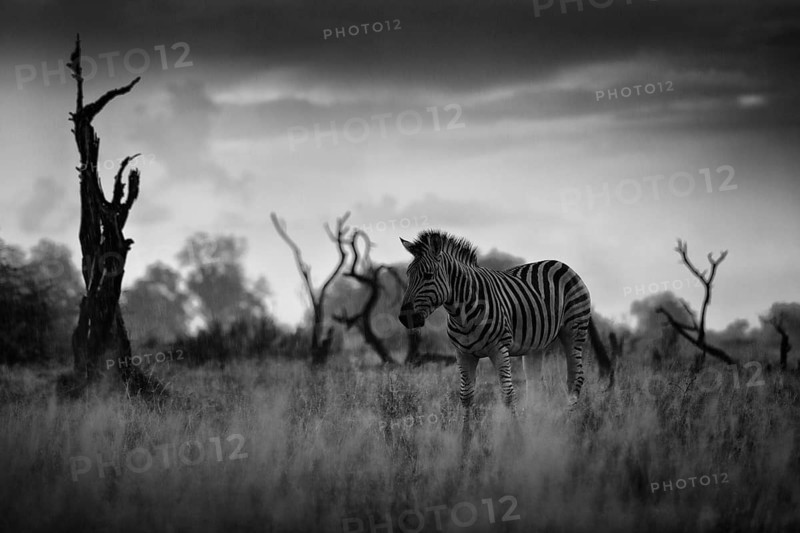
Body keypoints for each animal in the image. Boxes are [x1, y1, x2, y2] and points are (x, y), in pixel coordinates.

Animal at [397, 230, 614, 432]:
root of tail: (560, 263)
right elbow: (466, 397)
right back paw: (536, 428)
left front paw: (516, 438)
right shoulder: (463, 353)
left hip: (574, 331)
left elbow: (508, 394)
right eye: (408, 275)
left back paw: (566, 426)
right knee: (536, 385)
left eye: (428, 276)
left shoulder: (499, 349)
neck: (462, 312)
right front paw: (465, 442)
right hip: (536, 345)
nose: (405, 318)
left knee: (574, 379)